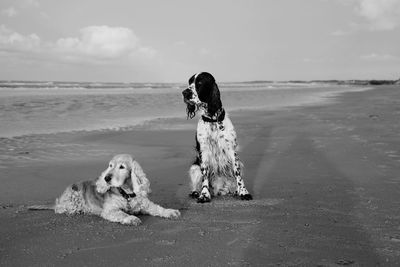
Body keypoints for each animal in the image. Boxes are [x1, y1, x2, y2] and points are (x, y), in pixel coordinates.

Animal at [182, 72, 252, 204]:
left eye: (200, 82)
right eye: (189, 82)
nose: (184, 93)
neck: (213, 120)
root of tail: (220, 189)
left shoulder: (231, 150)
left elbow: (238, 174)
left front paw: (243, 192)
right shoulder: (204, 151)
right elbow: (205, 175)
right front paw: (204, 195)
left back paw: (235, 191)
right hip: (194, 167)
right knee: (196, 183)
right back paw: (195, 192)